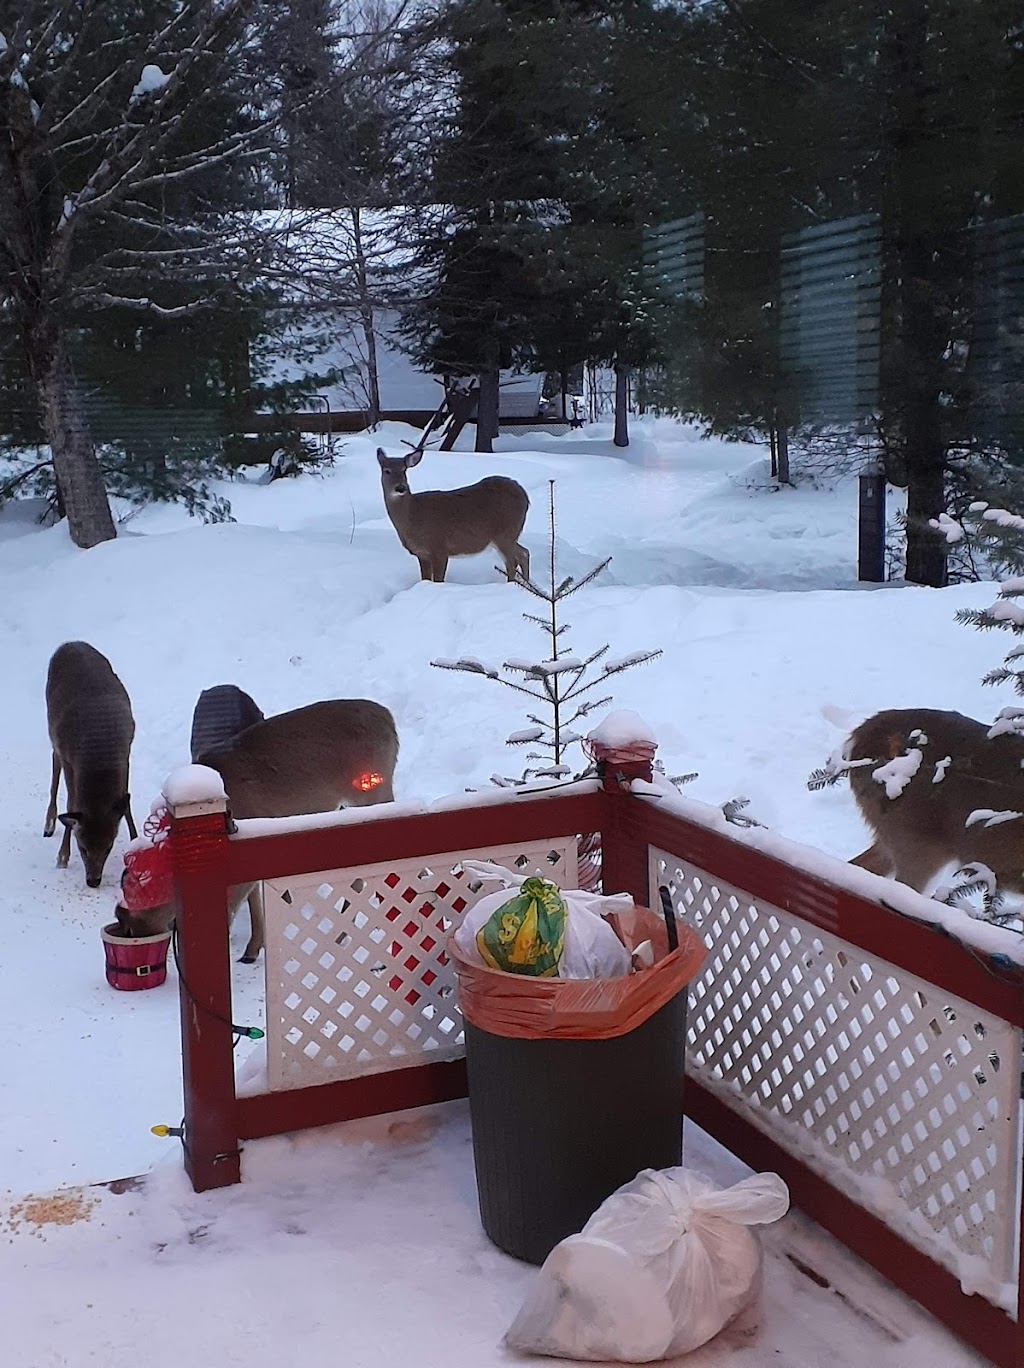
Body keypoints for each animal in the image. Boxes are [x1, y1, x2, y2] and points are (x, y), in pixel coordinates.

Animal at [44, 641, 138, 888]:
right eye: (82, 847)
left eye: (108, 847)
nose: (93, 881)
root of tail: (69, 644)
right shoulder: (71, 760)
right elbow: (71, 804)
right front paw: (62, 856)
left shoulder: (126, 755)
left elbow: (126, 805)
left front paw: (138, 842)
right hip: (53, 730)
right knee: (54, 767)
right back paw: (49, 825)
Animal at [115, 697, 400, 963]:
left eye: (132, 924)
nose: (140, 943)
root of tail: (389, 719)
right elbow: (254, 899)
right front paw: (253, 948)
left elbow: (234, 904)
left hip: (373, 790)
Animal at [377, 442, 530, 584]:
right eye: (387, 471)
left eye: (404, 470)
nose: (400, 488)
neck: (412, 515)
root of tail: (524, 496)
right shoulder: (422, 554)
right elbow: (425, 579)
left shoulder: (439, 547)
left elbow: (438, 580)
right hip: (509, 535)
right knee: (524, 553)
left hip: (505, 532)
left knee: (512, 562)